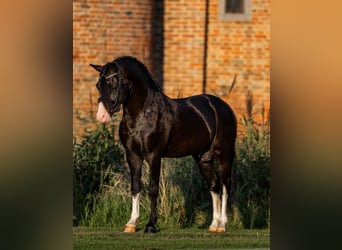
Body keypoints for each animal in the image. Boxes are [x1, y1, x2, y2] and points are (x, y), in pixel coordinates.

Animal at [89, 55, 236, 233]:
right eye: (98, 85)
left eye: (113, 82)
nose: (102, 116)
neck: (142, 114)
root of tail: (222, 106)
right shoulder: (133, 155)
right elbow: (135, 187)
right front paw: (131, 223)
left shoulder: (154, 156)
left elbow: (153, 189)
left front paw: (150, 225)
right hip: (204, 158)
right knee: (214, 186)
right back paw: (213, 225)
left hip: (224, 154)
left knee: (225, 186)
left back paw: (222, 225)